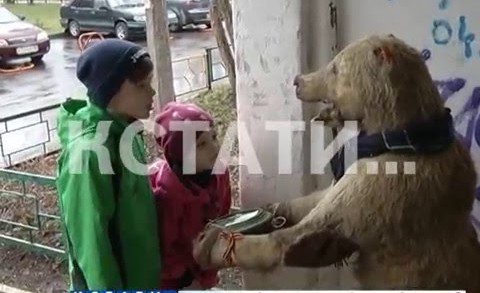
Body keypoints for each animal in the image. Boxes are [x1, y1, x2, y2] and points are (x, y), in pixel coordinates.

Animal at [191, 34, 480, 290]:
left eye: (334, 68)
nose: (298, 80)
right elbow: (318, 200)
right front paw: (271, 209)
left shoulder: (387, 187)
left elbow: (295, 237)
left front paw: (210, 243)